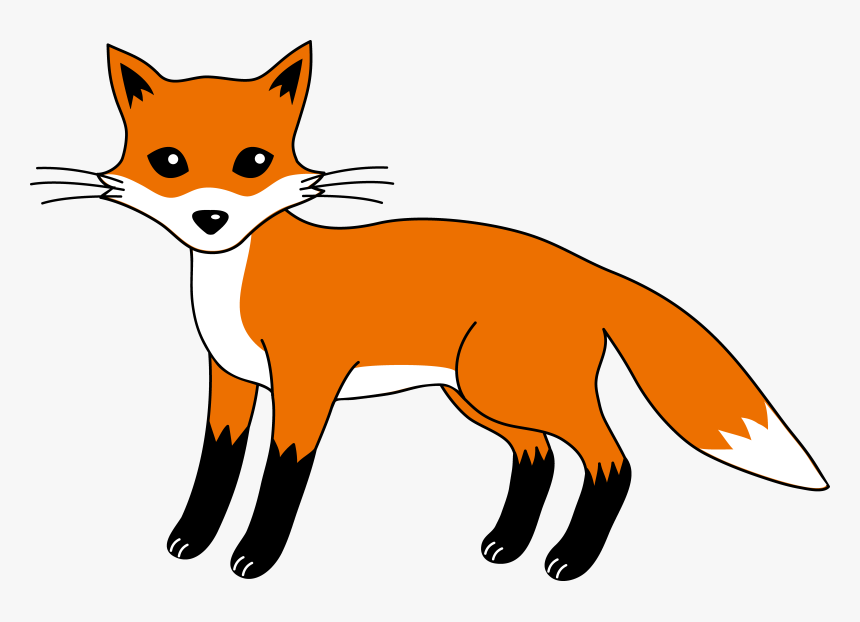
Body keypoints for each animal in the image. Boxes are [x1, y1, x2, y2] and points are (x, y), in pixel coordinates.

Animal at [34, 41, 828, 581]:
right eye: (168, 162)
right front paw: (192, 540)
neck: (240, 279)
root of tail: (587, 267)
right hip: (477, 396)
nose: (210, 218)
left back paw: (570, 558)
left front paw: (256, 555)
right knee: (537, 458)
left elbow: (281, 475)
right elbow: (216, 464)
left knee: (612, 463)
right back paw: (508, 545)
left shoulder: (306, 382)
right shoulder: (229, 379)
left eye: (253, 162)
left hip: (515, 389)